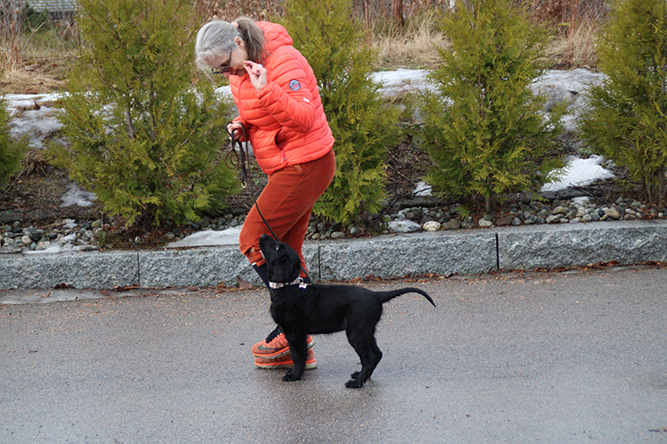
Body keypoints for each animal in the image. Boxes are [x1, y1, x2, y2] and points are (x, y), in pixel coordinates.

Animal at [258, 233, 436, 388]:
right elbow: (301, 355)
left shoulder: (293, 331)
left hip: (356, 332)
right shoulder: (300, 333)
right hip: (366, 330)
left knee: (370, 358)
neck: (288, 286)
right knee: (377, 354)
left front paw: (294, 376)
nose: (263, 235)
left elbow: (297, 356)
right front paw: (297, 373)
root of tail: (376, 295)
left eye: (276, 247)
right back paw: (361, 376)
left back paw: (356, 383)